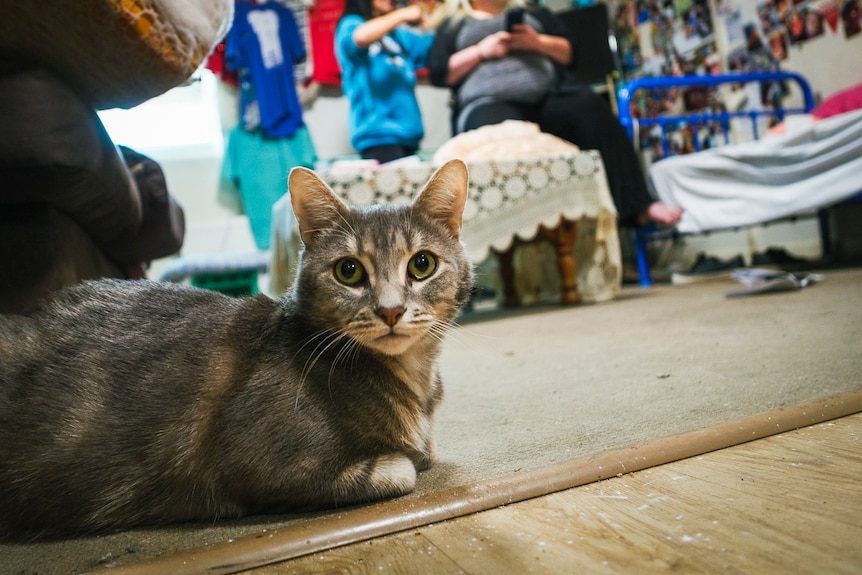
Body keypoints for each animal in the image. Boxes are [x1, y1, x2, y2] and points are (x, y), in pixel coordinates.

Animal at [0, 159, 472, 540]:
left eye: (422, 264)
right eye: (349, 271)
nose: (390, 310)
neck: (413, 380)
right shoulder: (259, 464)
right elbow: (404, 468)